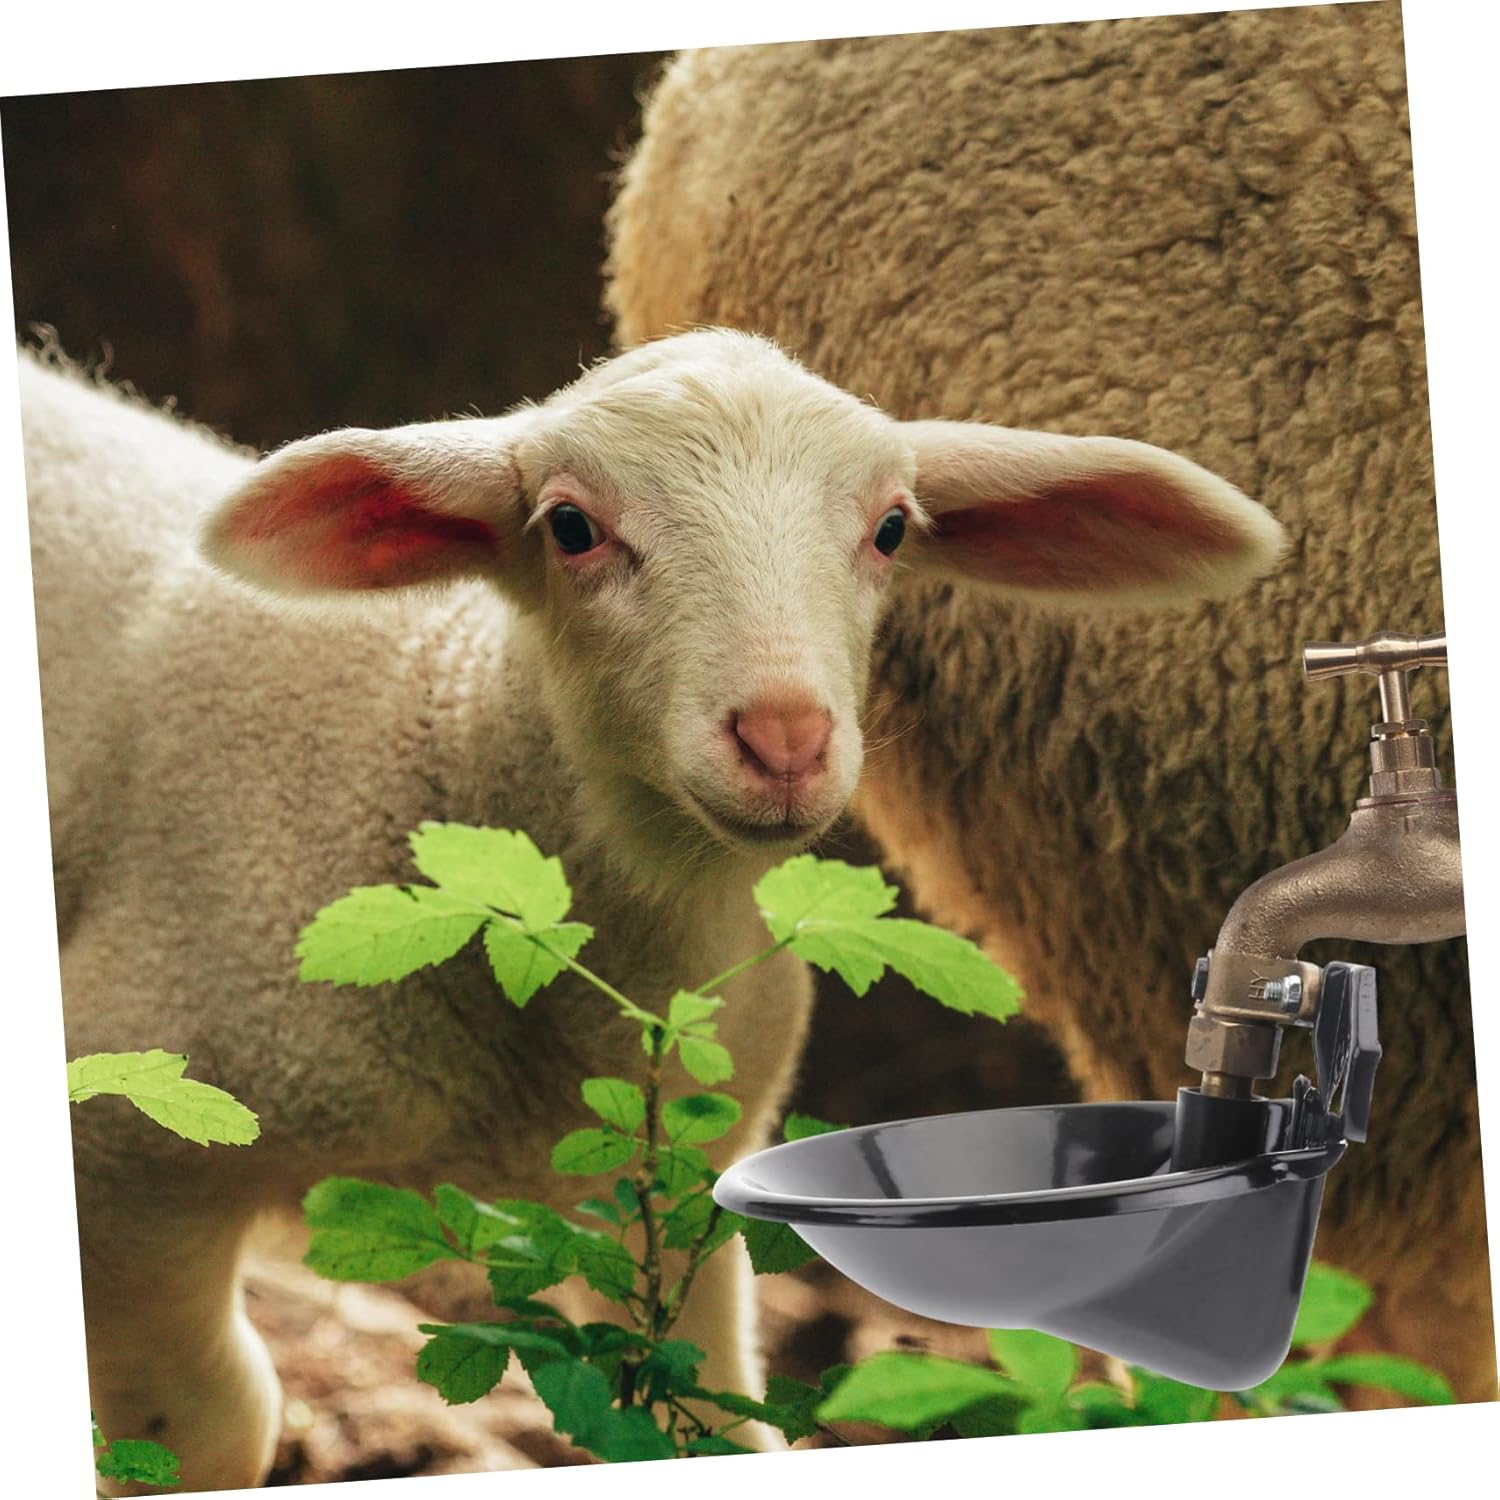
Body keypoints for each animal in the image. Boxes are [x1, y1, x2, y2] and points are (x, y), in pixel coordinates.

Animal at [22, 327, 1281, 1491]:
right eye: (572, 528)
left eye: (889, 530)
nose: (784, 739)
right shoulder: (127, 1144)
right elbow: (209, 1429)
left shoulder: (674, 1186)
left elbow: (706, 1422)